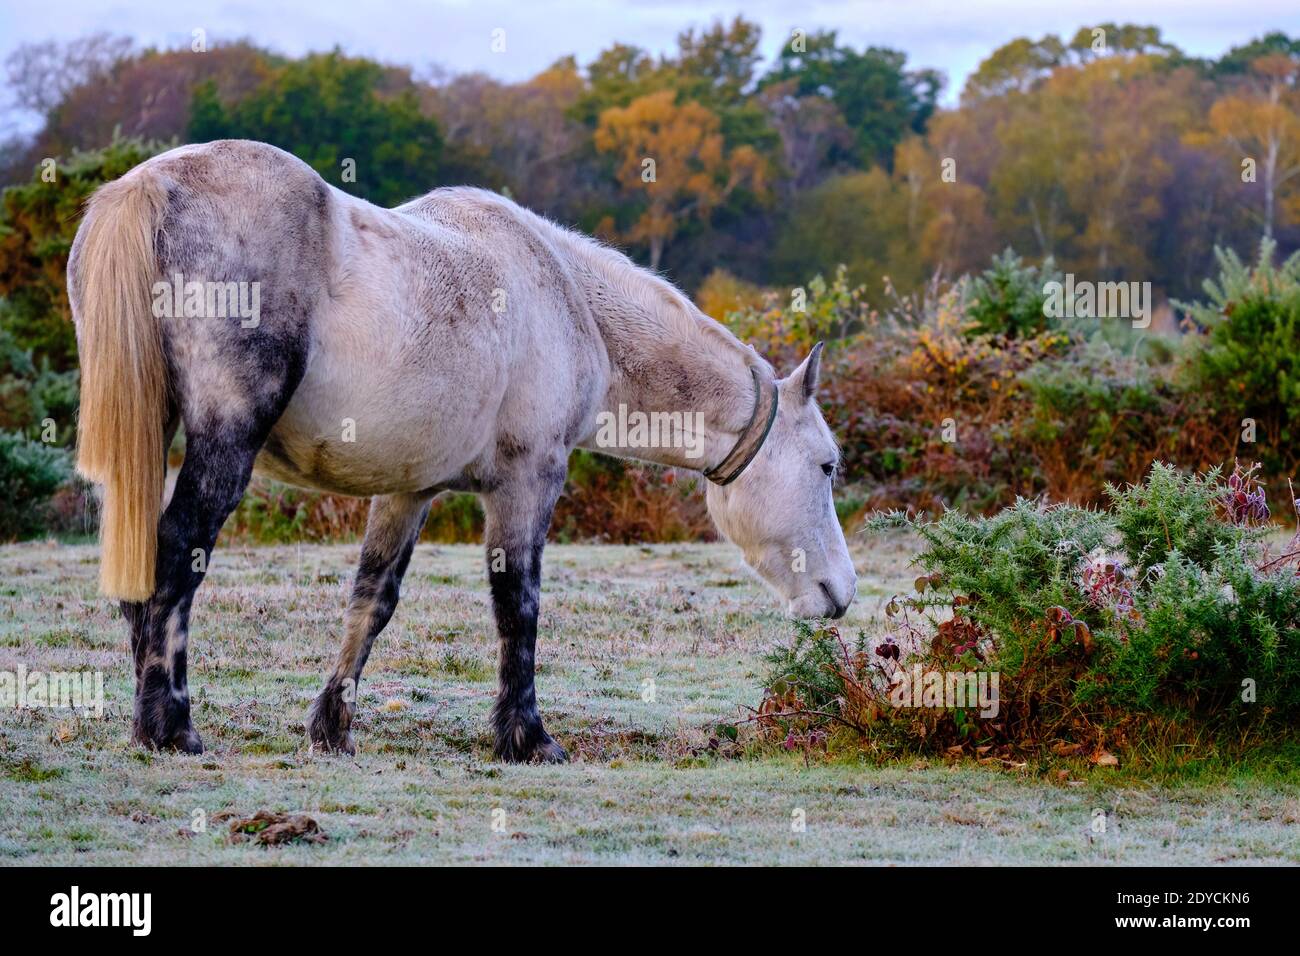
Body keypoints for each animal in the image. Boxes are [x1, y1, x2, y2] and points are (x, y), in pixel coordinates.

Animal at [68, 139, 857, 763]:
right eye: (827, 466)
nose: (841, 594)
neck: (564, 295)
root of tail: (150, 186)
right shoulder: (528, 481)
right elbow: (519, 606)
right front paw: (528, 738)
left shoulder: (407, 490)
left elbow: (372, 600)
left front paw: (332, 726)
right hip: (224, 441)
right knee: (178, 552)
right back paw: (170, 725)